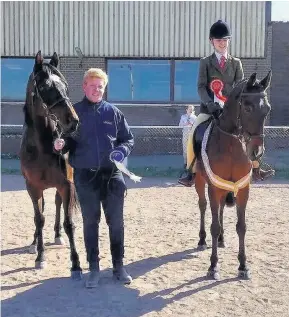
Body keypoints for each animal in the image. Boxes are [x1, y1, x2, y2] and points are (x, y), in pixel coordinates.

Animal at [19, 50, 82, 278]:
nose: (73, 121)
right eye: (46, 88)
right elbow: (39, 218)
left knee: (57, 205)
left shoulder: (66, 185)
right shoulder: (33, 187)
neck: (43, 147)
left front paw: (76, 263)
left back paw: (57, 235)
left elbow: (69, 222)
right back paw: (33, 243)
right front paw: (40, 257)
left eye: (65, 85)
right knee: (43, 210)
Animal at [192, 70, 272, 278]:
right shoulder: (213, 187)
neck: (231, 146)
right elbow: (213, 225)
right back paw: (202, 240)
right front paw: (213, 266)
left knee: (220, 208)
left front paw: (243, 265)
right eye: (248, 108)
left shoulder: (243, 188)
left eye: (267, 109)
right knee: (203, 206)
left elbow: (241, 227)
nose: (256, 152)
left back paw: (221, 239)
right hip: (200, 181)